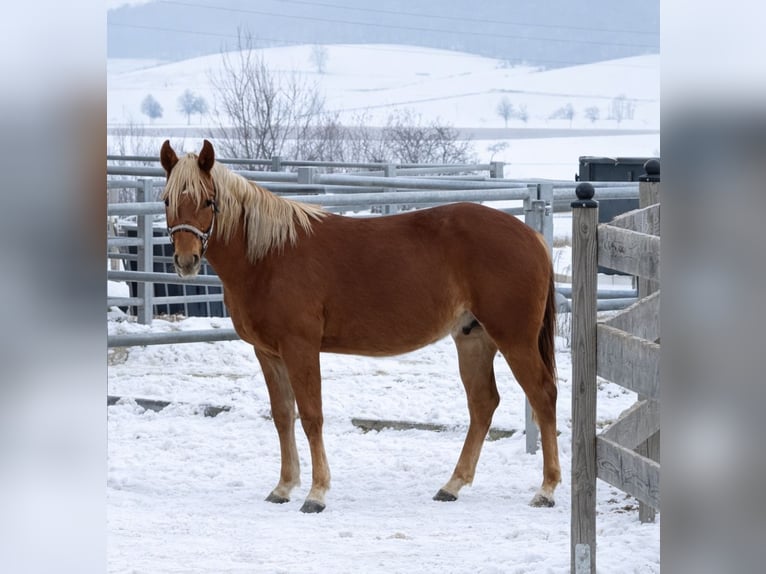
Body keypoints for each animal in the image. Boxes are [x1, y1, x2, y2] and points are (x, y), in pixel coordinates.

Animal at [159, 139, 560, 513]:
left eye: (208, 201)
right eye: (166, 200)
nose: (185, 260)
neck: (270, 257)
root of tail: (532, 237)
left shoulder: (300, 347)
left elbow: (312, 416)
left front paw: (316, 494)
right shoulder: (268, 352)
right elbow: (283, 416)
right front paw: (283, 488)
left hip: (515, 340)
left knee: (543, 395)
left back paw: (546, 489)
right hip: (473, 339)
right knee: (483, 403)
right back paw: (452, 485)